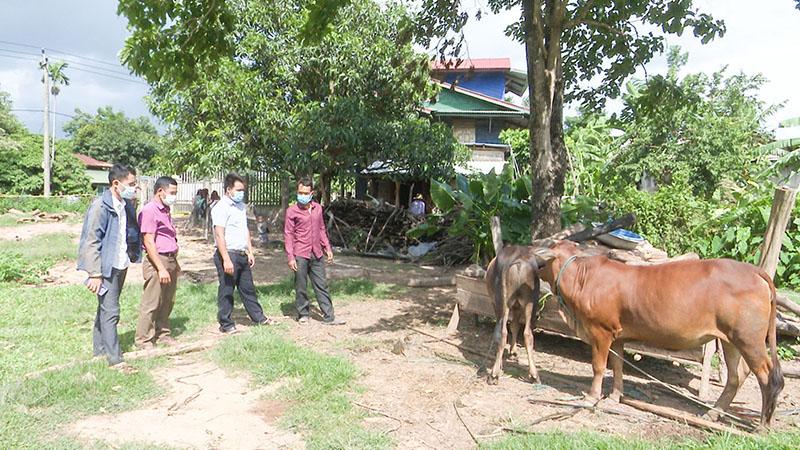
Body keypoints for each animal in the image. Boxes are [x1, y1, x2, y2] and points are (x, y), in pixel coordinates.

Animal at [482, 246, 544, 384]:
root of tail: (519, 262)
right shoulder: (517, 306)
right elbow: (515, 326)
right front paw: (513, 350)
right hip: (531, 301)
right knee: (527, 333)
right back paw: (534, 375)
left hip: (502, 301)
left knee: (502, 332)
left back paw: (494, 374)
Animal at [532, 239, 780, 426]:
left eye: (543, 261)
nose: (534, 266)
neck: (582, 278)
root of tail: (754, 270)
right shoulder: (618, 335)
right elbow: (618, 365)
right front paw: (615, 396)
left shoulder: (601, 331)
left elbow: (598, 366)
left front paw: (592, 397)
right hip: (730, 339)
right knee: (737, 375)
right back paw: (713, 413)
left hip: (748, 339)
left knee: (767, 375)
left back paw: (762, 425)